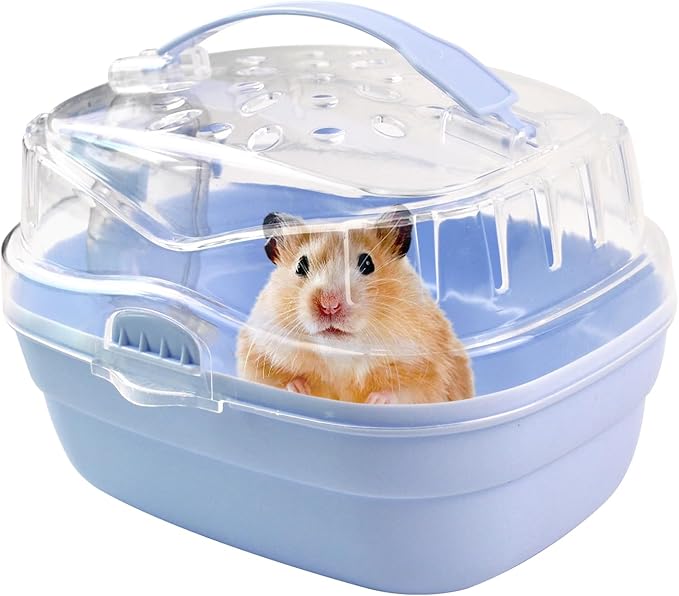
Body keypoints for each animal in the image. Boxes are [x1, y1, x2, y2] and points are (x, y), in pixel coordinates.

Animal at [236, 208, 474, 404]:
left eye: (367, 263)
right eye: (300, 265)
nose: (329, 305)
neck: (341, 355)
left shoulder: (428, 367)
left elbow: (407, 393)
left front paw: (376, 401)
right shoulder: (257, 353)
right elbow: (277, 380)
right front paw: (298, 388)